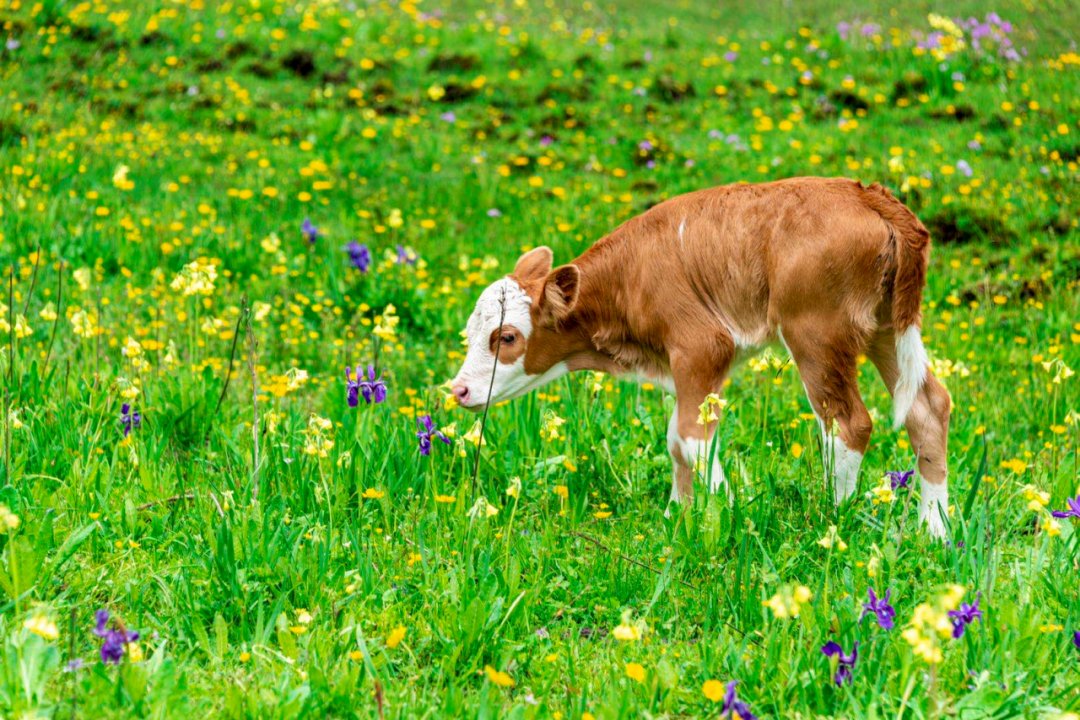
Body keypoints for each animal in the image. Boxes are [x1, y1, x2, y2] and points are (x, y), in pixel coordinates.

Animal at [451, 175, 950, 535]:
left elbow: (692, 439)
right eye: (469, 334)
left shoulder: (701, 345)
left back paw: (833, 520)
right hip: (886, 327)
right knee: (928, 407)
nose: (459, 390)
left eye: (506, 336)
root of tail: (866, 194)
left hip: (817, 331)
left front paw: (724, 516)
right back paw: (935, 531)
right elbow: (676, 438)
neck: (629, 278)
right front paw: (678, 516)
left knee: (848, 424)